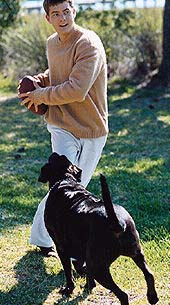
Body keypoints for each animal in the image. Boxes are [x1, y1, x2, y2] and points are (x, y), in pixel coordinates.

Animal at [38, 152, 158, 304]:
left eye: (52, 159)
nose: (55, 152)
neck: (65, 180)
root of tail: (117, 223)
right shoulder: (84, 252)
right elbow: (84, 269)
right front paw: (89, 286)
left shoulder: (61, 247)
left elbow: (68, 271)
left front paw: (68, 290)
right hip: (136, 253)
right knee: (149, 274)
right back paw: (152, 297)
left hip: (99, 268)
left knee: (123, 295)